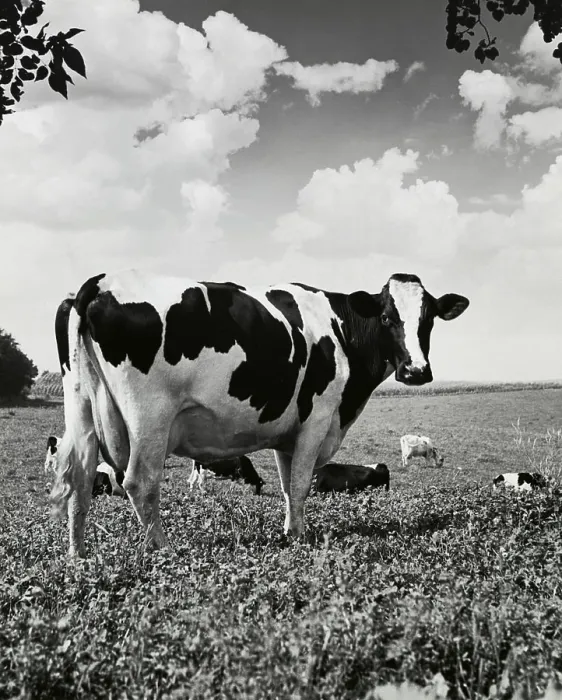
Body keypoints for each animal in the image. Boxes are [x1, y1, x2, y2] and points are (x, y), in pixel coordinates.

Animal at [49, 270, 469, 557]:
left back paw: (77, 554)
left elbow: (286, 485)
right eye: (386, 317)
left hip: (80, 407)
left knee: (80, 479)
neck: (340, 330)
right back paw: (162, 547)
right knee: (139, 481)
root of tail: (99, 282)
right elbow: (300, 485)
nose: (416, 371)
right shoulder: (317, 418)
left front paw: (288, 531)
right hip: (149, 416)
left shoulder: (289, 432)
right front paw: (299, 537)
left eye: (428, 319)